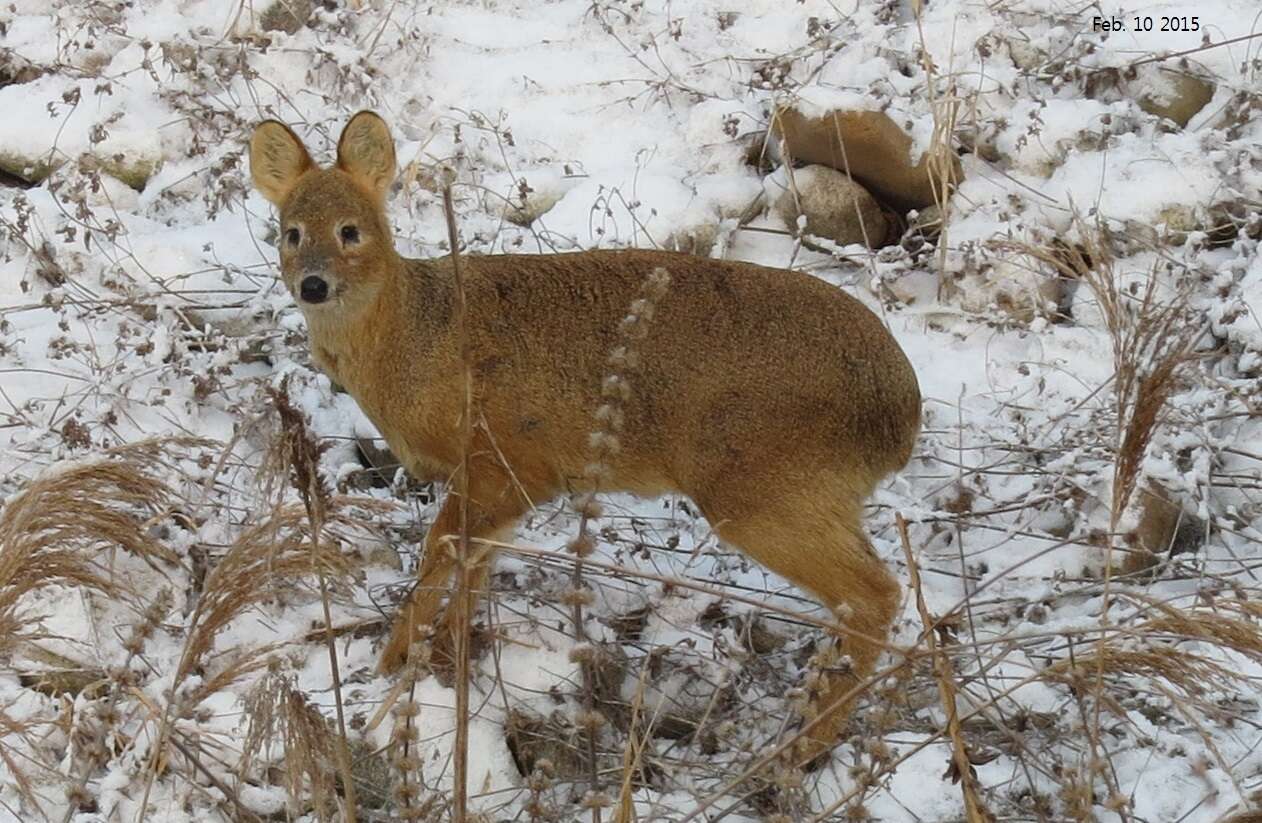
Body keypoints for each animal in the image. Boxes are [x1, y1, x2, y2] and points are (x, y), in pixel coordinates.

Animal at [246, 111, 923, 767]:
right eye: (290, 232)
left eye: (351, 231)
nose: (313, 285)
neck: (415, 337)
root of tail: (903, 411)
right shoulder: (508, 486)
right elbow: (472, 571)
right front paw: (444, 665)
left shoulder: (499, 464)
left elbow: (441, 557)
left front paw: (392, 666)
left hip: (766, 490)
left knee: (876, 595)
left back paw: (802, 748)